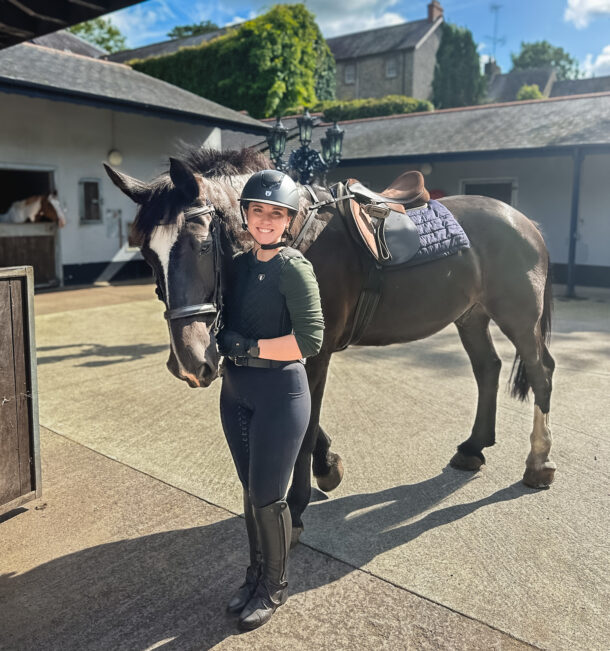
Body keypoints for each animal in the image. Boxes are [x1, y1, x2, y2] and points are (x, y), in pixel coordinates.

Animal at [104, 147, 556, 544]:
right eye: (148, 255)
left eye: (200, 244)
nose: (189, 362)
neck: (292, 240)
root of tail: (523, 220)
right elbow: (310, 419)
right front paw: (328, 466)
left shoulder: (316, 352)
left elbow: (304, 426)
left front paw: (297, 507)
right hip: (471, 315)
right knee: (488, 368)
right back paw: (473, 448)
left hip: (518, 315)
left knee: (541, 373)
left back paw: (539, 463)